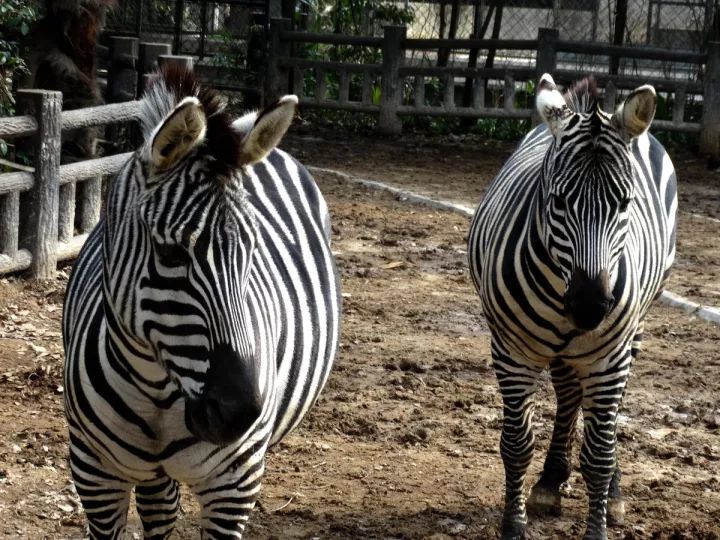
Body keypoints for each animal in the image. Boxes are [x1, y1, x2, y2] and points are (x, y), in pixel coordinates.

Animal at [62, 65, 340, 536]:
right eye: (171, 253)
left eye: (253, 251)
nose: (240, 414)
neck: (156, 391)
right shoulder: (93, 474)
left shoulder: (234, 486)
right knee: (160, 508)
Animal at [466, 73, 676, 540]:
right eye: (558, 201)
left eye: (625, 203)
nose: (590, 307)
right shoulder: (511, 353)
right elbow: (516, 444)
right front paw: (514, 526)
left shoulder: (609, 358)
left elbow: (599, 454)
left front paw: (600, 518)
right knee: (568, 394)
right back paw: (549, 481)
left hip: (630, 335)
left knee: (607, 416)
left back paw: (612, 491)